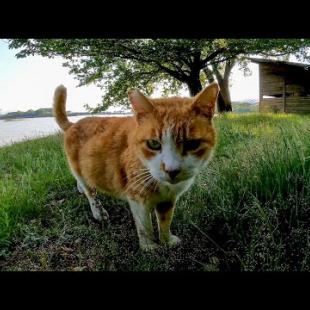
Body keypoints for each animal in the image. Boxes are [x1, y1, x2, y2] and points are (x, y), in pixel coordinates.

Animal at [52, 83, 218, 252]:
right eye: (153, 143)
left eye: (192, 144)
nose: (171, 170)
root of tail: (74, 124)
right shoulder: (137, 196)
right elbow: (145, 226)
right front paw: (150, 247)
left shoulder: (169, 199)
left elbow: (165, 221)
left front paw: (166, 241)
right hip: (80, 170)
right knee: (90, 193)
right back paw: (98, 211)